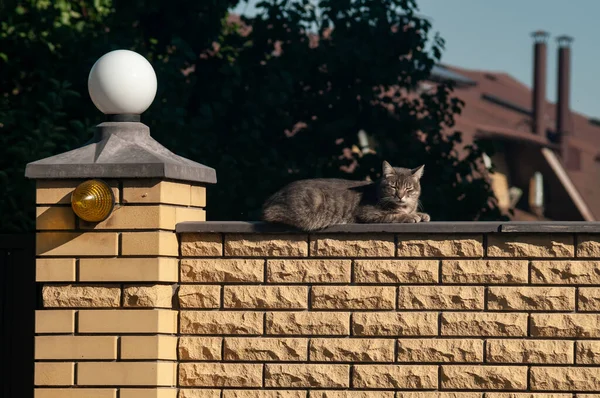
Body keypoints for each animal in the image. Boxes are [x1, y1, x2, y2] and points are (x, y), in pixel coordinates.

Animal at [264, 160, 432, 232]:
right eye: (393, 187)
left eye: (408, 188)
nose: (400, 196)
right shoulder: (368, 214)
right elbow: (394, 215)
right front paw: (411, 216)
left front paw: (421, 214)